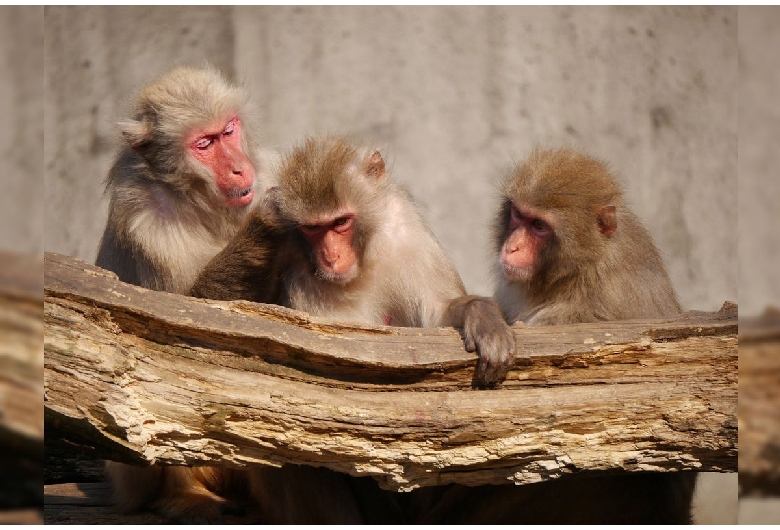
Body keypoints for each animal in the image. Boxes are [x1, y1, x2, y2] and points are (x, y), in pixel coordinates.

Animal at [97, 65, 276, 520]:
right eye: (204, 144)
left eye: (228, 131)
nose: (238, 169)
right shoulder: (148, 220)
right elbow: (180, 330)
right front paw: (266, 227)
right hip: (130, 481)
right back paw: (186, 496)